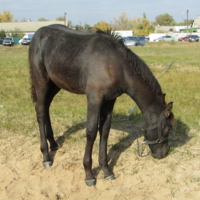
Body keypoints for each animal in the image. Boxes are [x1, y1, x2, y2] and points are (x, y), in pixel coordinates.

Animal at [28, 24, 174, 187]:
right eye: (168, 128)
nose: (162, 154)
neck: (117, 65)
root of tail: (37, 34)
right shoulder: (94, 99)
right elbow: (91, 132)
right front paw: (89, 174)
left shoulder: (109, 101)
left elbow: (104, 131)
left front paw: (106, 169)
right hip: (41, 83)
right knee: (40, 112)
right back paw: (46, 156)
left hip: (54, 84)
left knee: (46, 108)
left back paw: (53, 144)